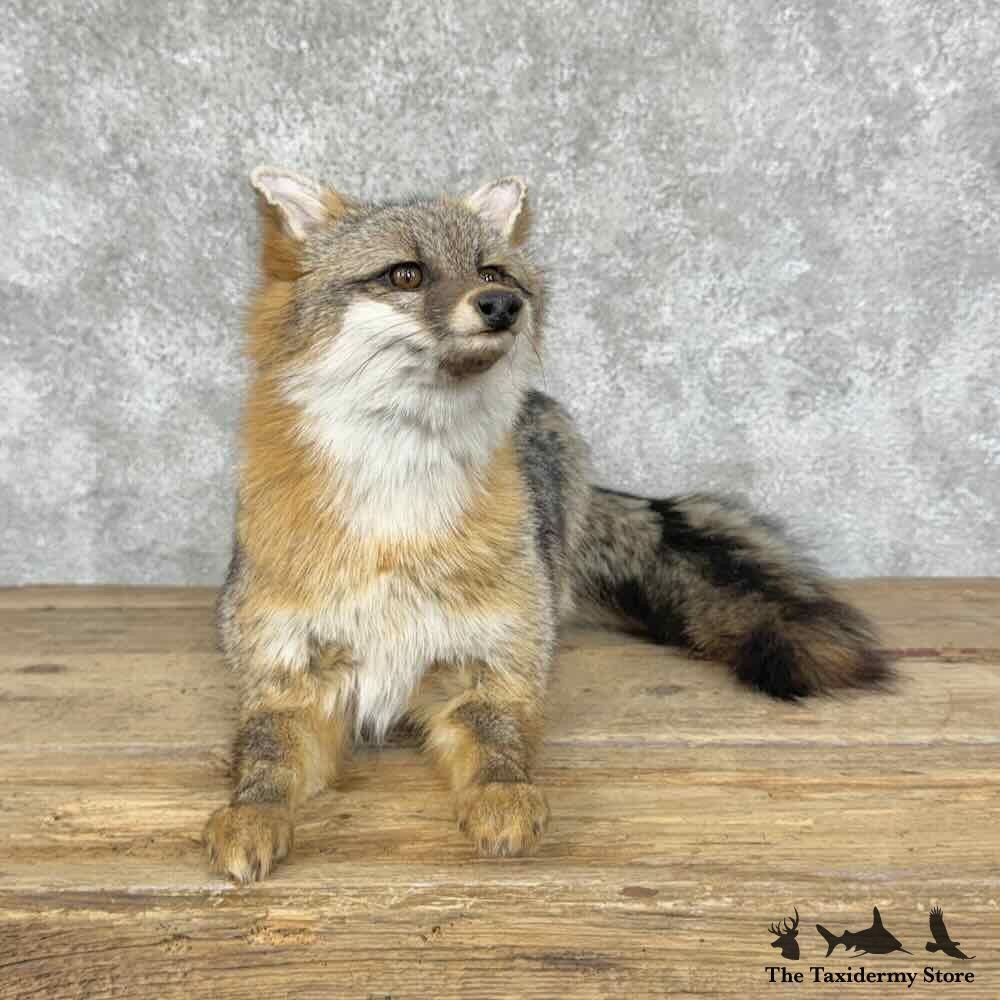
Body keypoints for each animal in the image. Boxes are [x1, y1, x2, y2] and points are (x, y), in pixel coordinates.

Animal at [203, 165, 891, 882]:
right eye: (406, 275)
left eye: (493, 271)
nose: (501, 305)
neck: (400, 512)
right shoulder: (287, 679)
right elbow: (262, 758)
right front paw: (248, 816)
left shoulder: (490, 669)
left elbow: (501, 748)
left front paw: (504, 801)